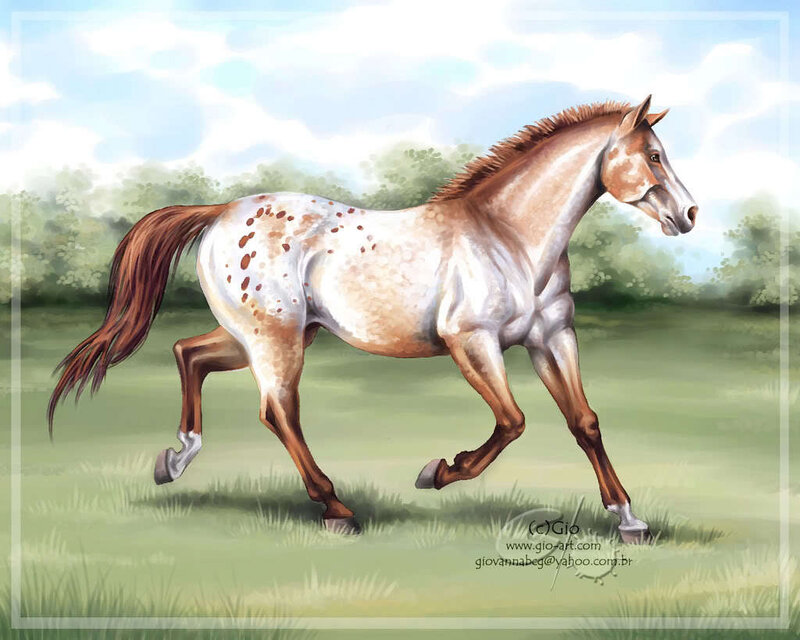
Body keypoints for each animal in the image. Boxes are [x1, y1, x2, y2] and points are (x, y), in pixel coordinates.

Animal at [48, 96, 697, 542]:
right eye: (654, 156)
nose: (689, 215)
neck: (508, 238)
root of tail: (222, 210)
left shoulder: (551, 339)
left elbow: (584, 423)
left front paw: (628, 519)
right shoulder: (472, 342)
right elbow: (512, 422)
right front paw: (438, 471)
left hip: (261, 335)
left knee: (189, 353)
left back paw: (176, 460)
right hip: (275, 339)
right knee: (278, 410)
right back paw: (336, 508)